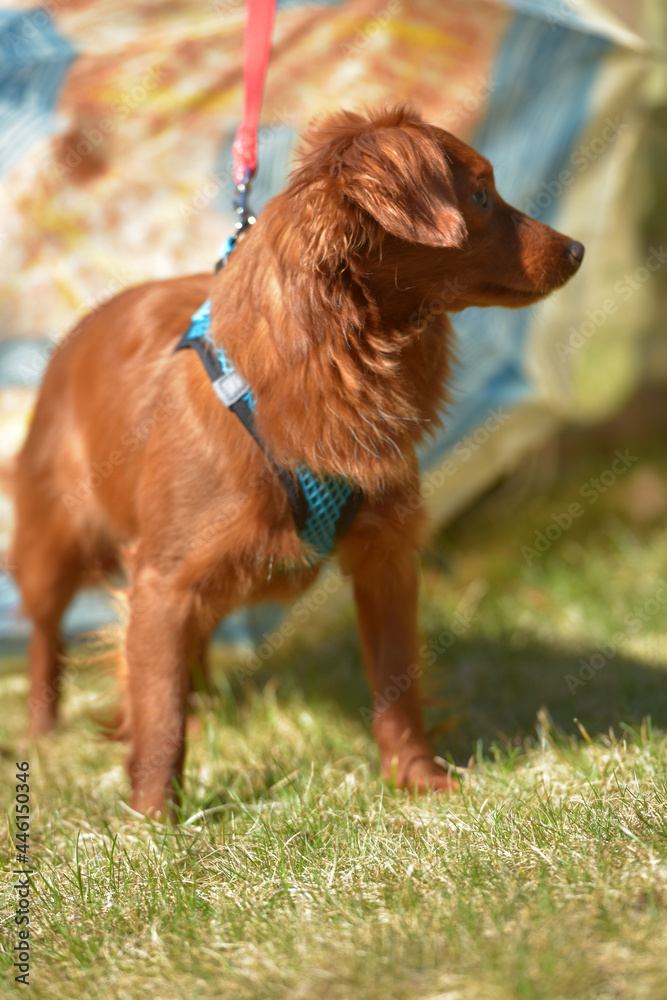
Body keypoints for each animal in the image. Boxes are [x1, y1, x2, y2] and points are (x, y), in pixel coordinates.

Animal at [11, 105, 584, 816]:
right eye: (480, 195)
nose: (577, 249)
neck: (345, 357)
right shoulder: (163, 580)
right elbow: (159, 715)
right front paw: (152, 823)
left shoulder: (386, 560)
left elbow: (396, 686)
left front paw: (418, 782)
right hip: (57, 540)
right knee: (47, 633)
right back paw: (43, 733)